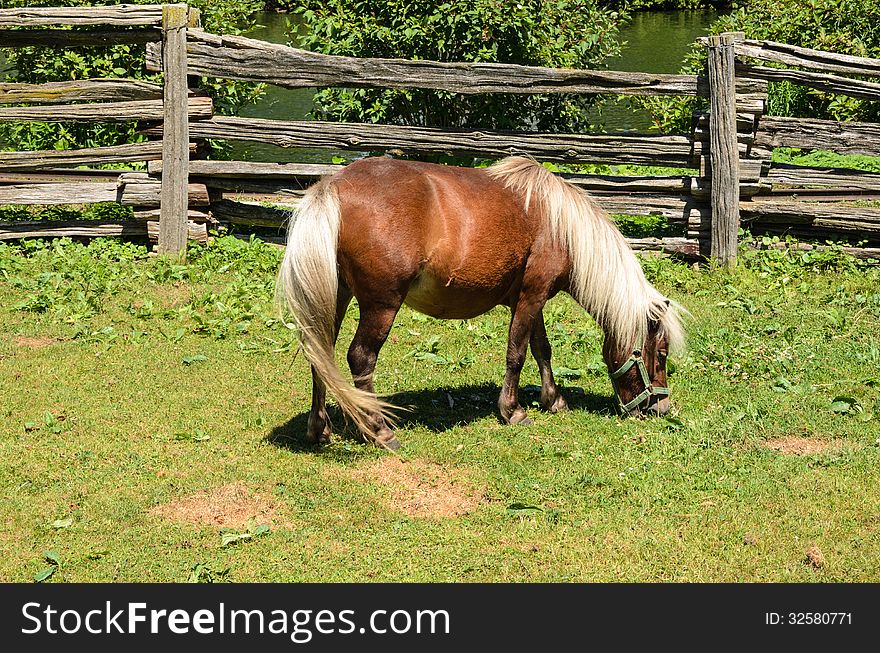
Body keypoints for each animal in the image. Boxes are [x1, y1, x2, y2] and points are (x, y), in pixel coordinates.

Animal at [278, 158, 684, 448]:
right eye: (661, 354)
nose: (661, 408)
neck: (559, 226)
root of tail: (333, 187)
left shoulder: (530, 299)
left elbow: (542, 349)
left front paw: (553, 400)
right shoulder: (531, 297)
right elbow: (517, 353)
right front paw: (512, 411)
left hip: (337, 296)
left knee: (321, 352)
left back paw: (320, 429)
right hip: (381, 305)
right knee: (360, 357)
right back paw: (379, 430)